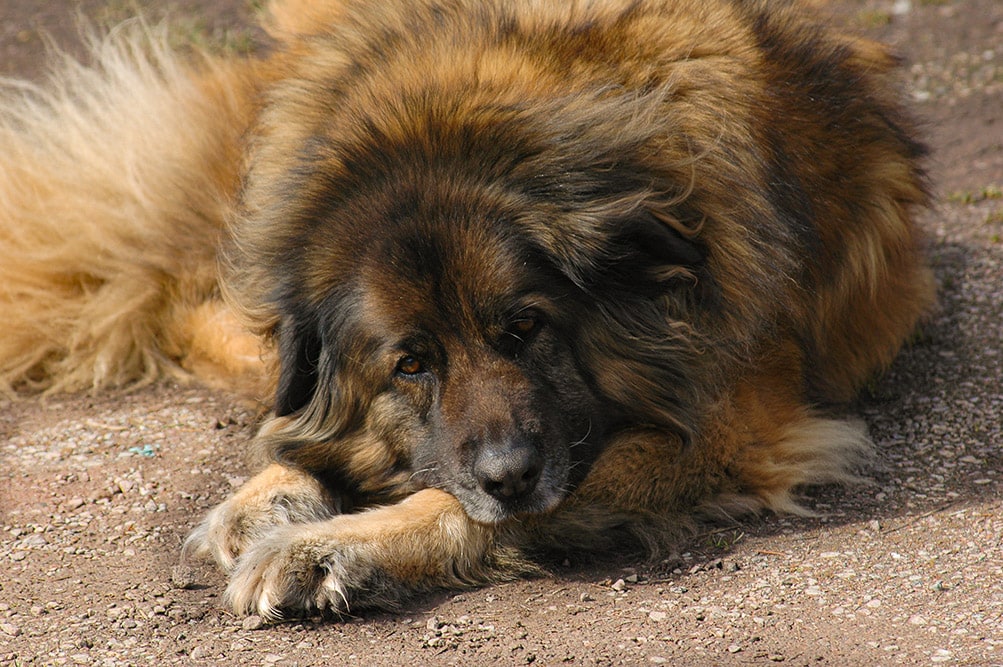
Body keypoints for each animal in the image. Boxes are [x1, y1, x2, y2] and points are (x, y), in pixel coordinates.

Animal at [3, 0, 934, 617]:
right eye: (410, 363)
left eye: (525, 329)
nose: (510, 475)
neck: (449, 127)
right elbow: (312, 426)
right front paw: (275, 497)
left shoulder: (731, 430)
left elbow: (453, 499)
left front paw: (327, 547)